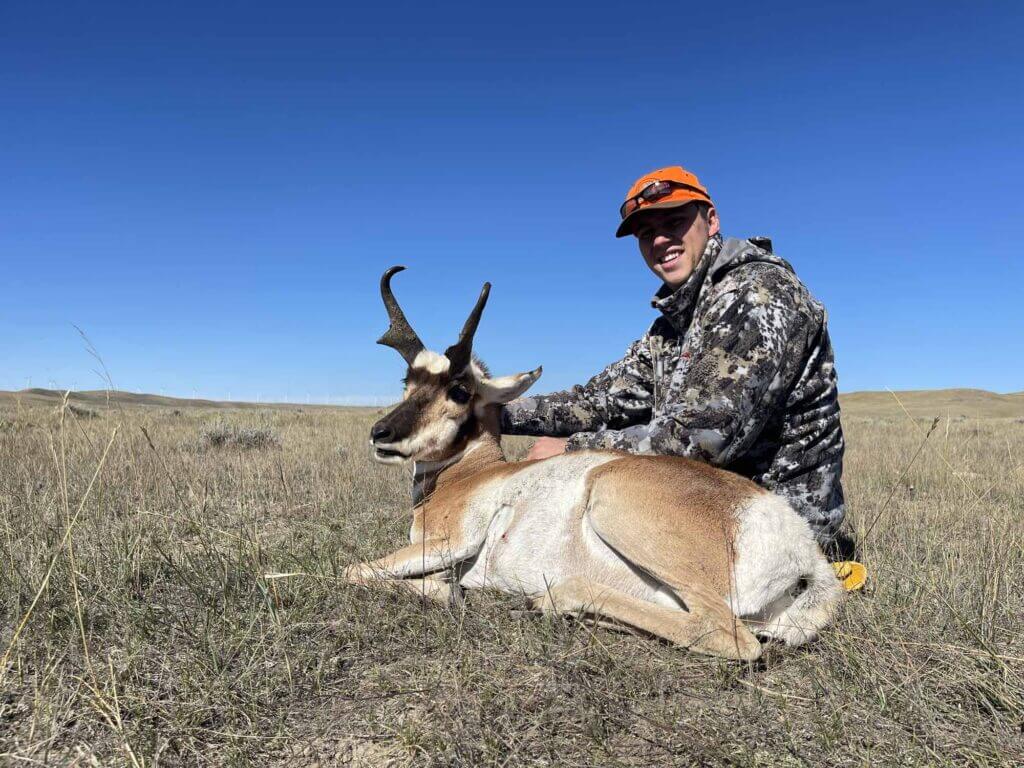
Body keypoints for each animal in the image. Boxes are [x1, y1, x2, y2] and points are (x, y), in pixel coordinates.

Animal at [349, 266, 844, 660]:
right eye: (407, 381)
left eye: (459, 391)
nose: (381, 434)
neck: (475, 474)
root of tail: (801, 545)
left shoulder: (449, 542)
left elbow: (354, 570)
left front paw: (445, 591)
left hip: (613, 506)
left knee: (727, 634)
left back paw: (553, 599)